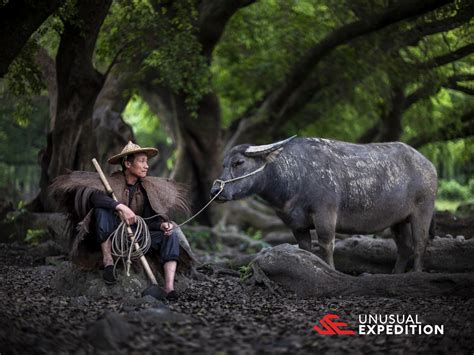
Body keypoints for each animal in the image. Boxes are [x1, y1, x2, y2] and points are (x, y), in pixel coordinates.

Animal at [211, 138, 436, 274]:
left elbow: (326, 245)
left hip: (423, 211)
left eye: (239, 163)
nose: (215, 191)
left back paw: (416, 273)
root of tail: (429, 165)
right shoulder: (297, 224)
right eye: (224, 164)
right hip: (398, 220)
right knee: (405, 247)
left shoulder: (325, 214)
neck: (296, 177)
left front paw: (331, 270)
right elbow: (305, 248)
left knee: (420, 243)